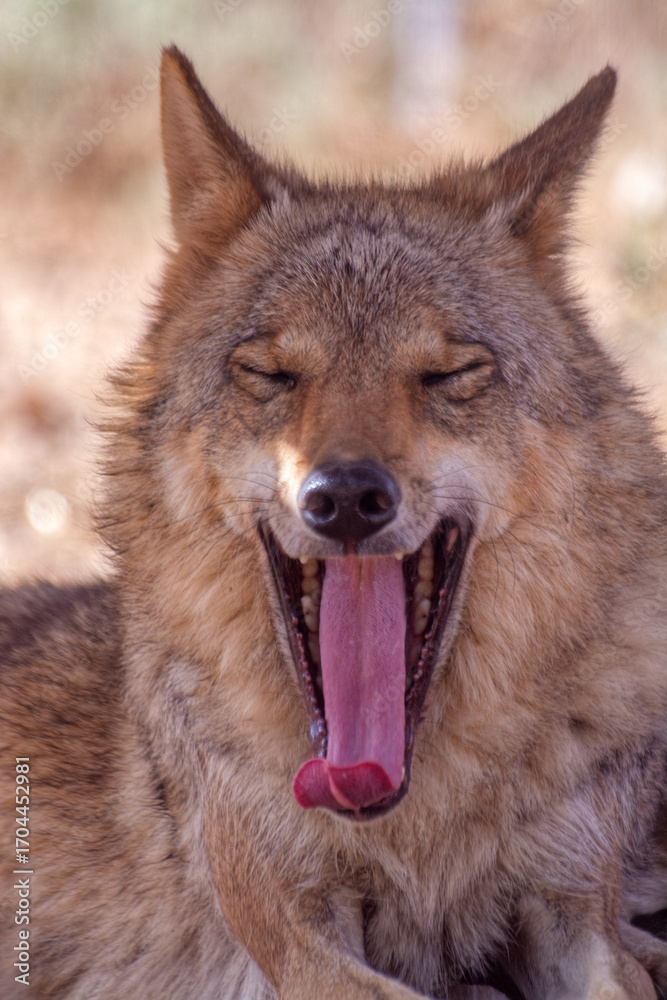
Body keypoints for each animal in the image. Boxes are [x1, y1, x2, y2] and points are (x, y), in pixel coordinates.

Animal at [1, 46, 666, 1000]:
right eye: (272, 373)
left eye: (448, 373)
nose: (346, 496)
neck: (415, 823)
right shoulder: (295, 934)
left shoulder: (574, 909)